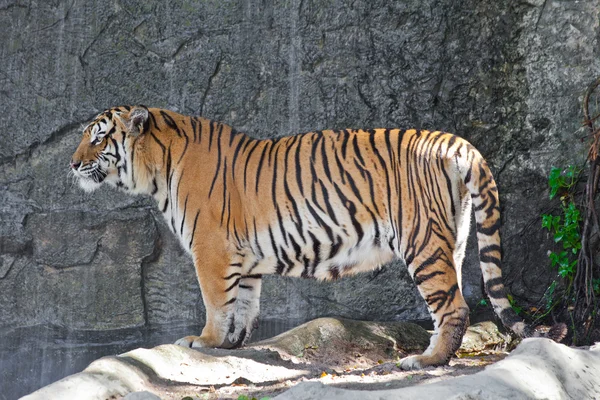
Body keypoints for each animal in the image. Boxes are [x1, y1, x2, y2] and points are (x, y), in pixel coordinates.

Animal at [70, 106, 568, 368]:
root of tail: (458, 143)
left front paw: (204, 341)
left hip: (422, 241)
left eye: (98, 138)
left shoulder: (211, 249)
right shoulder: (242, 256)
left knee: (454, 307)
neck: (157, 167)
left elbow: (215, 301)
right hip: (455, 237)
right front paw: (231, 343)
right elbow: (243, 302)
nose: (72, 164)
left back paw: (425, 361)